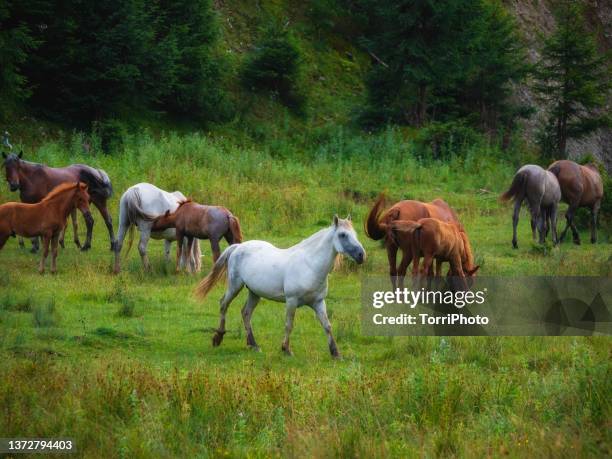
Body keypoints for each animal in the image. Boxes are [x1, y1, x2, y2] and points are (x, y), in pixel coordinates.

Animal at [195, 217, 364, 362]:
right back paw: (218, 338)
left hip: (254, 293)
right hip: (235, 286)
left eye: (355, 234)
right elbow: (289, 324)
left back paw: (253, 345)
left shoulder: (318, 302)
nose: (361, 255)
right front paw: (286, 350)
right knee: (224, 304)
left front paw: (336, 354)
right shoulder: (291, 301)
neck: (310, 265)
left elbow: (327, 326)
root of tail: (238, 247)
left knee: (246, 313)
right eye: (343, 235)